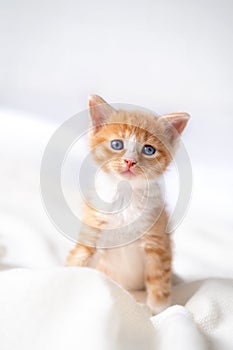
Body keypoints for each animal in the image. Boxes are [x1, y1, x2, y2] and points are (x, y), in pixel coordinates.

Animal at [66, 95, 189, 314]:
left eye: (149, 149)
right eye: (117, 144)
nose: (130, 161)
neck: (126, 195)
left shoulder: (157, 240)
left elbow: (158, 279)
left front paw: (157, 312)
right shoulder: (93, 230)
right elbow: (79, 259)